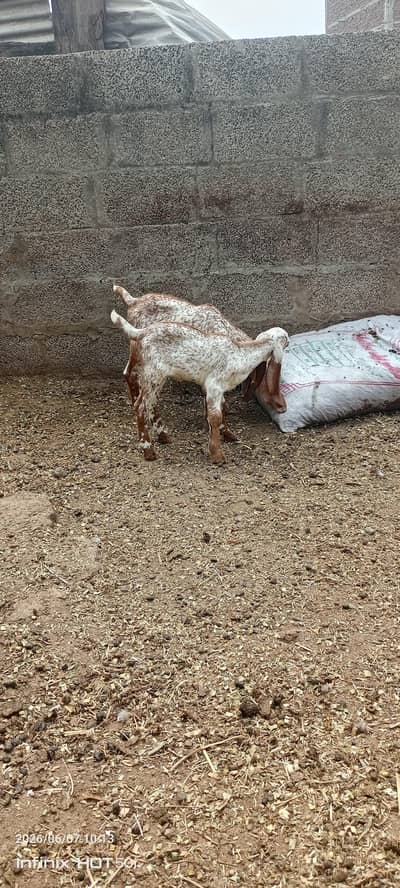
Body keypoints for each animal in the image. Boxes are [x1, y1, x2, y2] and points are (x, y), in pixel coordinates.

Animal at [113, 285, 286, 445]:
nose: (282, 408)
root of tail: (133, 301)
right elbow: (220, 405)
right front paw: (225, 433)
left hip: (137, 353)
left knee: (129, 375)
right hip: (144, 357)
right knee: (140, 387)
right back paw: (161, 433)